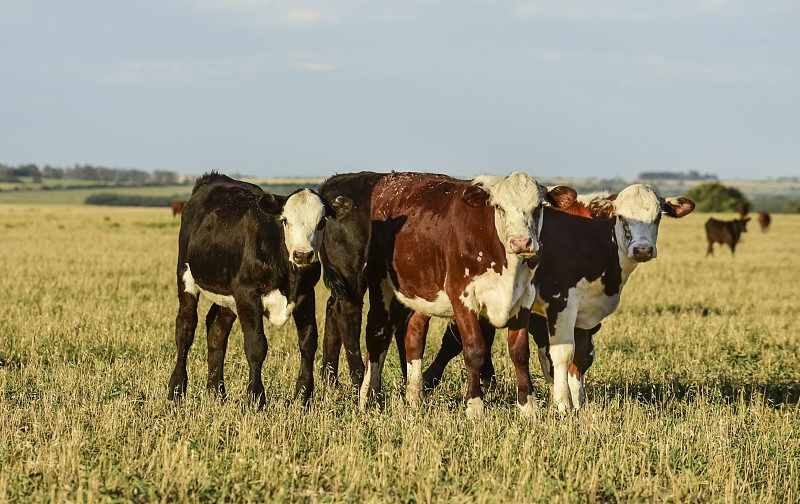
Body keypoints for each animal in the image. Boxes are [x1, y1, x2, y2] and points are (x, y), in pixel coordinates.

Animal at [167, 171, 352, 408]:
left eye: (321, 222)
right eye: (285, 220)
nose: (303, 254)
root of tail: (213, 178)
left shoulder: (305, 295)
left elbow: (308, 342)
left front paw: (303, 396)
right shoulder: (247, 295)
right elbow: (256, 346)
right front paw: (256, 397)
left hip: (228, 294)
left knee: (217, 330)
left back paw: (217, 392)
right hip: (186, 274)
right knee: (186, 327)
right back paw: (176, 390)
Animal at [360, 171, 580, 420]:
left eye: (538, 207)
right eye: (498, 206)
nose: (521, 242)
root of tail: (392, 179)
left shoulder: (524, 297)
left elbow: (519, 352)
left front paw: (528, 406)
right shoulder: (462, 296)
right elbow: (475, 350)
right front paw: (475, 406)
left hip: (423, 292)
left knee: (414, 336)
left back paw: (415, 397)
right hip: (380, 284)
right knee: (377, 334)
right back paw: (369, 398)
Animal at [424, 185, 692, 414]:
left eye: (658, 218)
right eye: (623, 218)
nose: (643, 249)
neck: (586, 236)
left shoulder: (582, 313)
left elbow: (577, 356)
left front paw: (577, 403)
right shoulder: (560, 301)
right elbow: (561, 353)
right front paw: (563, 405)